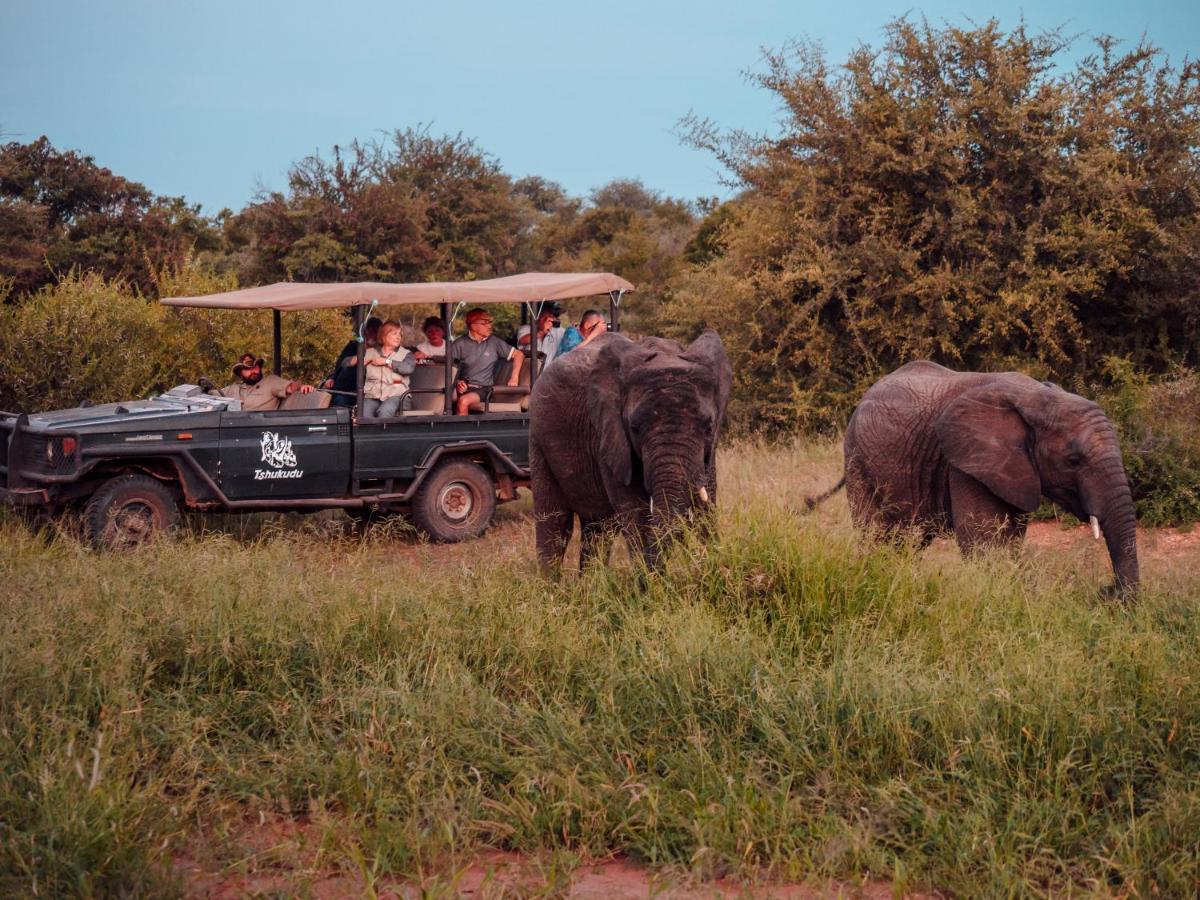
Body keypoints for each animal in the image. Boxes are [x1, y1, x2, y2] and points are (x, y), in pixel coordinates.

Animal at [532, 328, 729, 571]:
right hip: (538, 439)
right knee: (555, 523)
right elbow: (636, 513)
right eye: (634, 428)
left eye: (709, 426)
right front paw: (651, 579)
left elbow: (706, 504)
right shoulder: (609, 436)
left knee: (598, 529)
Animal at [811, 360, 1137, 600]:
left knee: (909, 541)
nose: (1107, 592)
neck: (1038, 397)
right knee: (875, 534)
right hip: (857, 459)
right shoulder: (965, 463)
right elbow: (984, 543)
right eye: (1073, 461)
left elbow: (1008, 540)